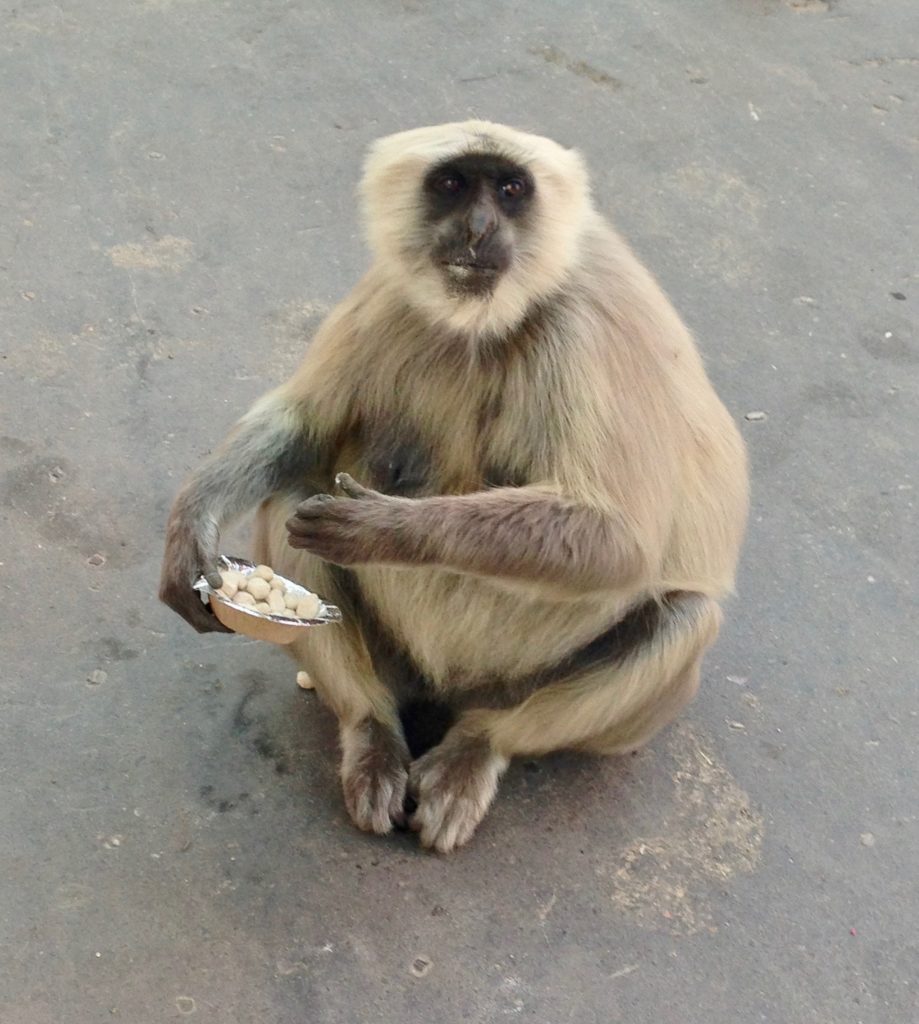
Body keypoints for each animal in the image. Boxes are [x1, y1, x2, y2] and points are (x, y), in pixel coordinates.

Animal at [159, 120, 748, 853]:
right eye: (450, 184)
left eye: (510, 189)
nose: (477, 227)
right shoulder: (388, 290)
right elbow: (305, 433)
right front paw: (190, 529)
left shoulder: (590, 327)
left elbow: (622, 544)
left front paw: (383, 530)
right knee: (290, 498)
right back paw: (372, 731)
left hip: (539, 697)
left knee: (682, 616)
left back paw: (477, 747)